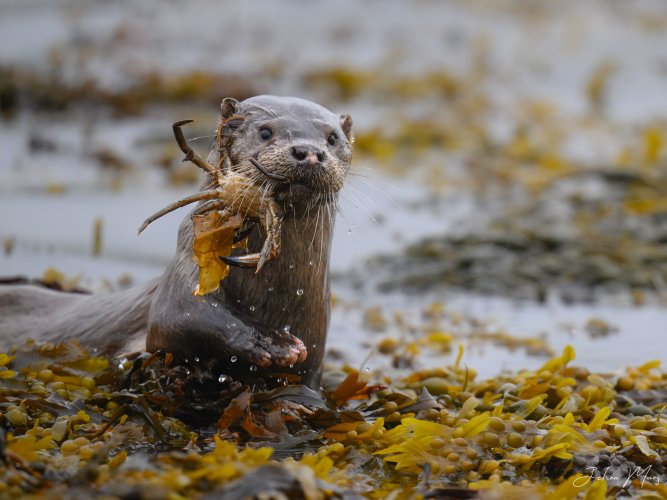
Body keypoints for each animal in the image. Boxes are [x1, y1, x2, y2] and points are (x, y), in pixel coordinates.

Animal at [0, 95, 354, 388]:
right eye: (265, 132)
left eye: (332, 138)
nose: (309, 152)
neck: (271, 298)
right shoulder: (182, 275)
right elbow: (177, 316)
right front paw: (269, 342)